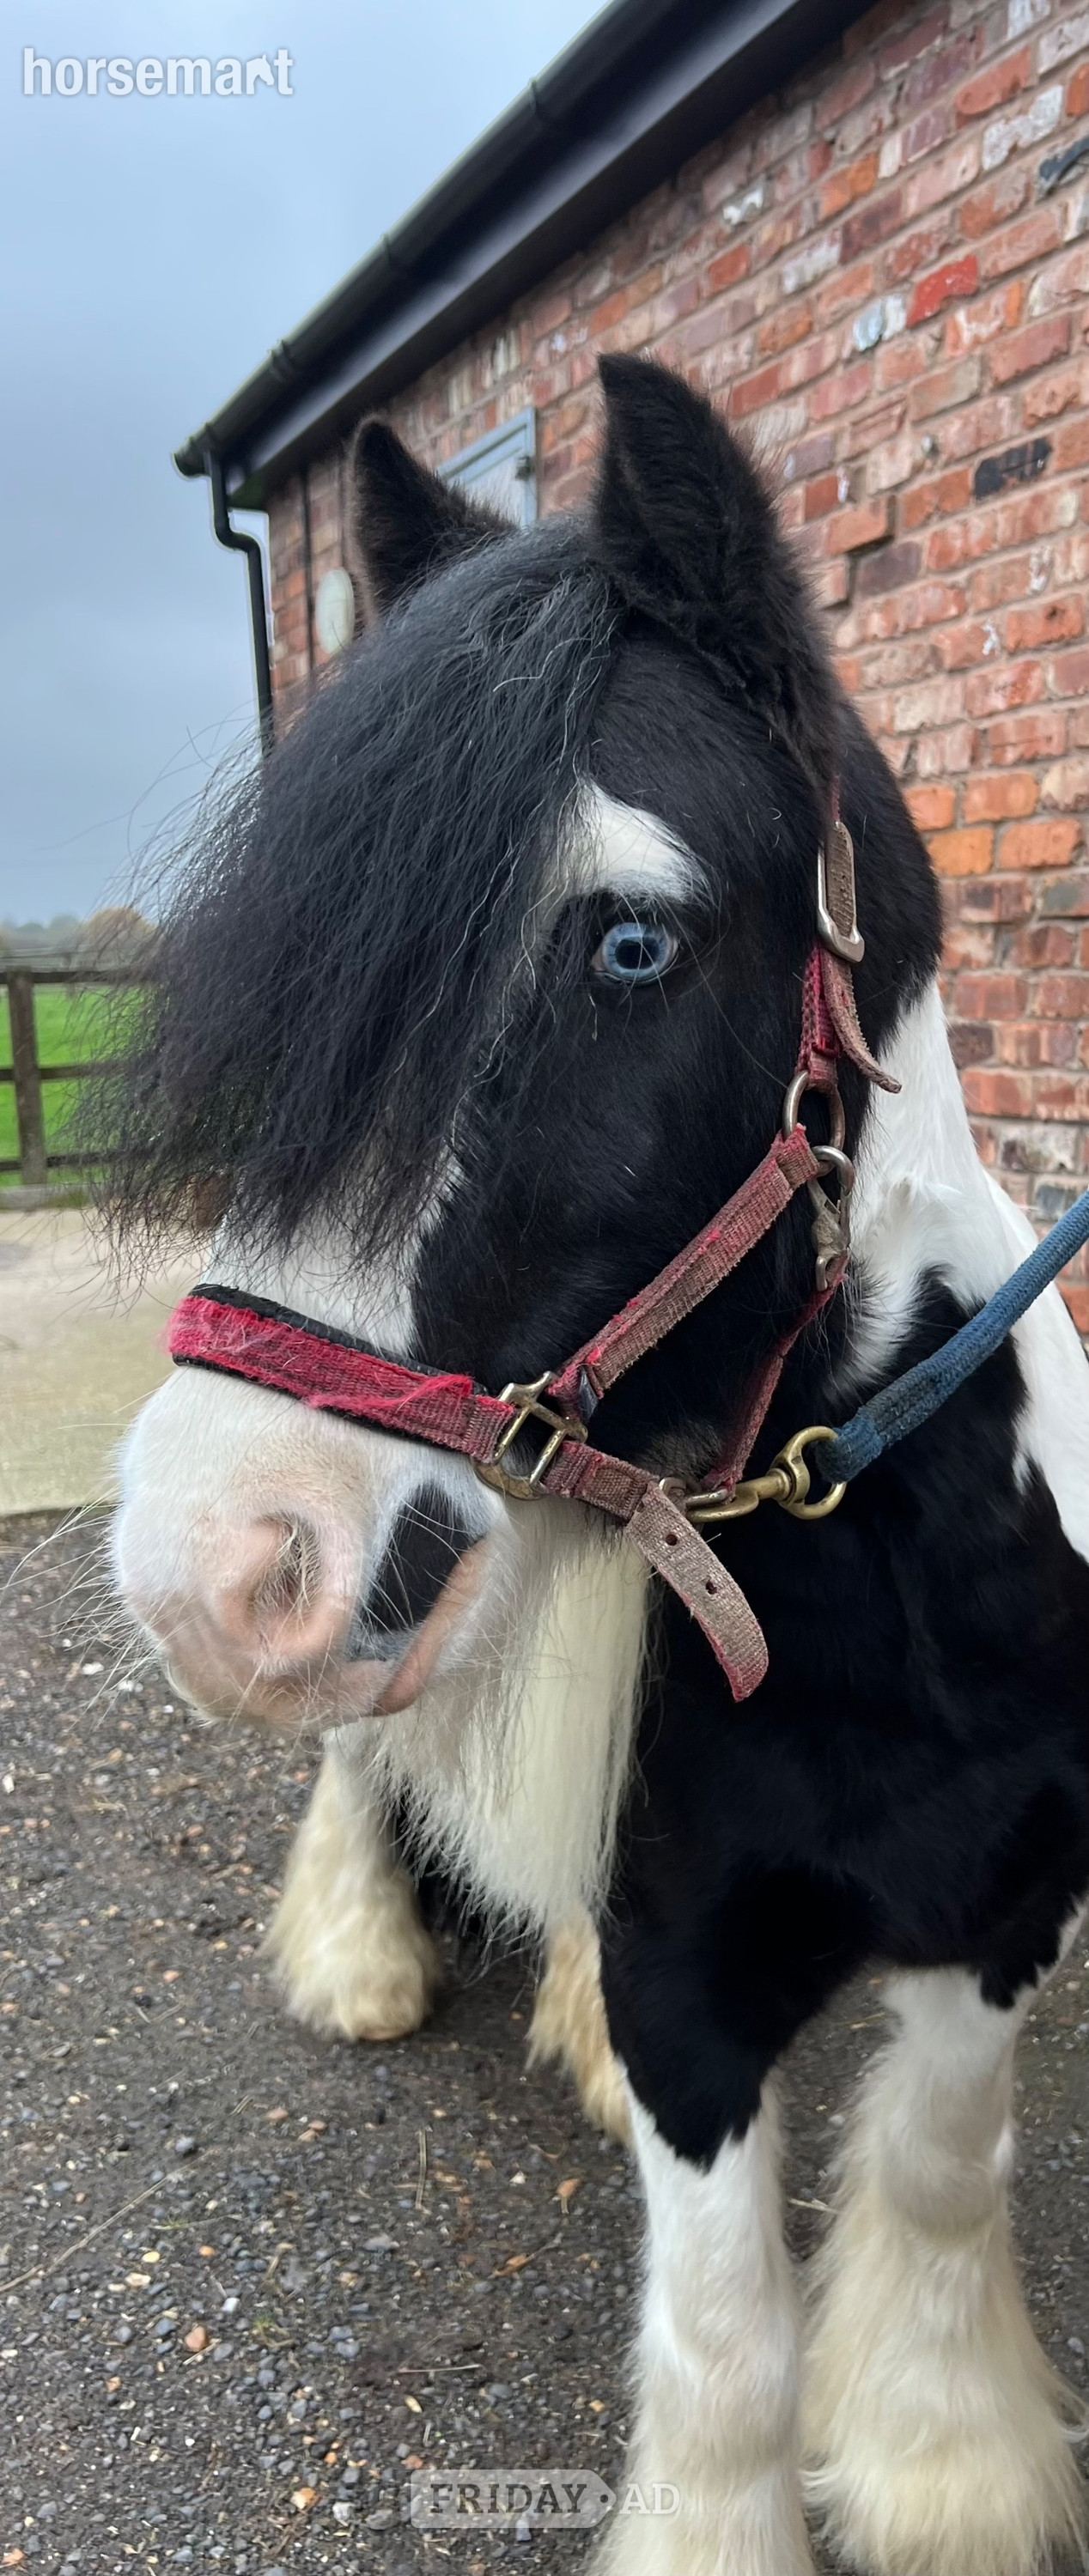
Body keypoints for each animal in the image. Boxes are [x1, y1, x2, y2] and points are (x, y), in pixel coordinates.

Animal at [106, 354, 1089, 2575]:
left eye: (630, 944)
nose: (213, 1568)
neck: (887, 1599)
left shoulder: (1005, 1894)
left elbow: (934, 2159)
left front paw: (944, 2470)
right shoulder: (691, 1984)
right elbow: (724, 2342)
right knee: (363, 1754)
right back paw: (365, 1955)